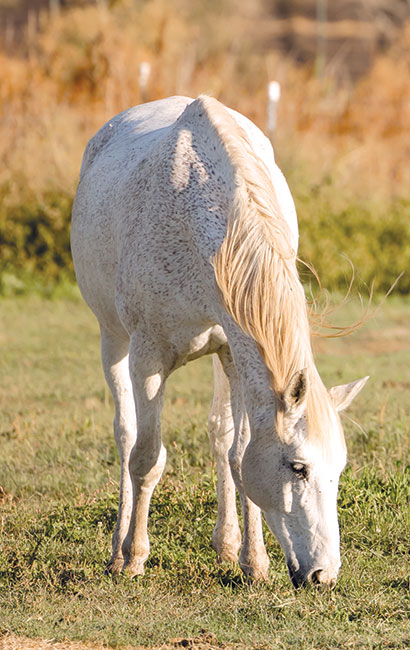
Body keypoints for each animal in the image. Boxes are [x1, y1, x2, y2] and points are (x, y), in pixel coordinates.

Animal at [71, 95, 368, 587]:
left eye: (339, 469)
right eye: (299, 468)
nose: (324, 575)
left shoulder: (235, 349)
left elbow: (238, 455)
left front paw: (254, 562)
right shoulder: (147, 359)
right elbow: (146, 458)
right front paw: (135, 557)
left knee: (219, 435)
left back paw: (227, 547)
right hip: (112, 339)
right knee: (125, 435)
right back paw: (117, 551)